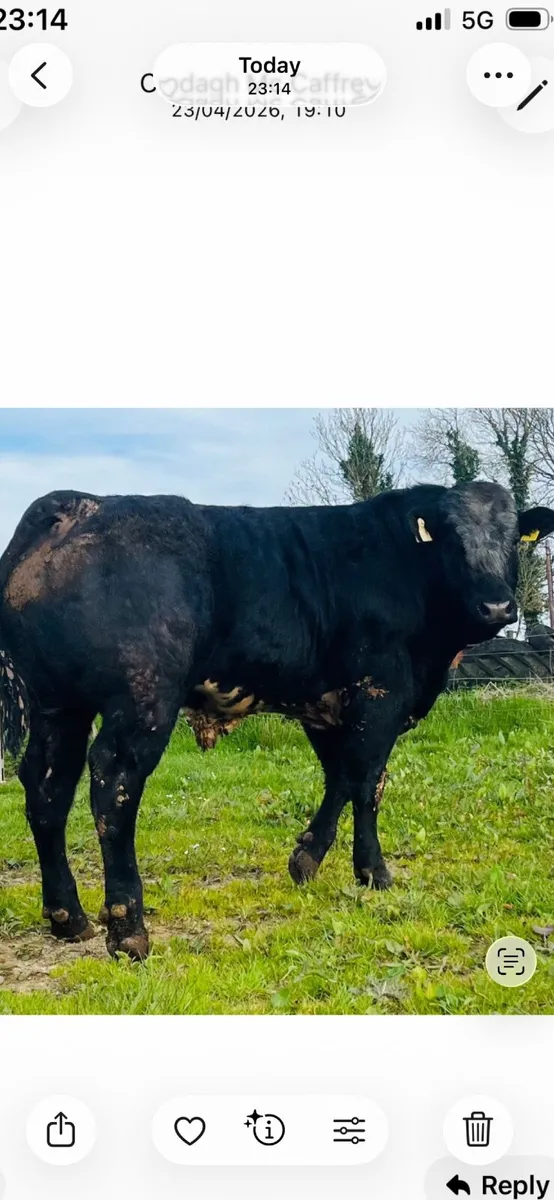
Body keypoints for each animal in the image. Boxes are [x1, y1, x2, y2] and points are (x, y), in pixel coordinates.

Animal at [0, 481, 553, 961]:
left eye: (511, 538)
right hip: (141, 699)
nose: (497, 604)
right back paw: (129, 930)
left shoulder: (324, 704)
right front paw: (373, 871)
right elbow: (368, 781)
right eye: (452, 539)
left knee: (47, 788)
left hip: (58, 705)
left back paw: (67, 917)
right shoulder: (380, 694)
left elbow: (340, 778)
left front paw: (307, 859)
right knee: (113, 786)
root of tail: (76, 504)